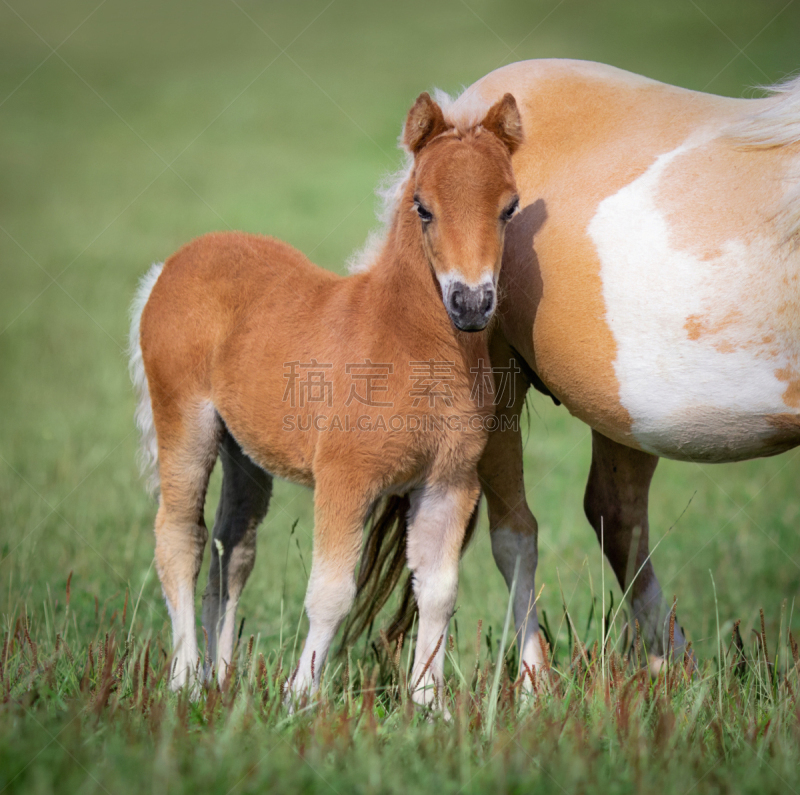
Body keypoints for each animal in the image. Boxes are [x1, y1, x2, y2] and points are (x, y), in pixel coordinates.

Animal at [128, 93, 520, 708]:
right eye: (423, 208)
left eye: (509, 208)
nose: (471, 303)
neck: (408, 344)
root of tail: (170, 266)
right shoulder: (345, 478)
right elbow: (332, 593)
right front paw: (299, 697)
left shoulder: (449, 483)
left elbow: (438, 593)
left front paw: (429, 706)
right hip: (186, 422)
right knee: (179, 539)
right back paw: (186, 680)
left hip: (245, 450)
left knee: (232, 550)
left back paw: (222, 679)